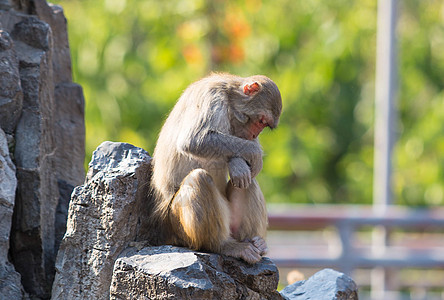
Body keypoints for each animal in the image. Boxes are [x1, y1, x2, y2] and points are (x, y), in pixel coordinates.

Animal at [149, 72, 280, 262]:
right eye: (261, 120)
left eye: (264, 124)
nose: (255, 134)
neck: (230, 97)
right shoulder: (212, 97)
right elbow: (195, 140)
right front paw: (253, 154)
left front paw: (240, 162)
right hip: (177, 226)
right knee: (199, 178)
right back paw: (222, 245)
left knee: (248, 181)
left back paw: (257, 243)